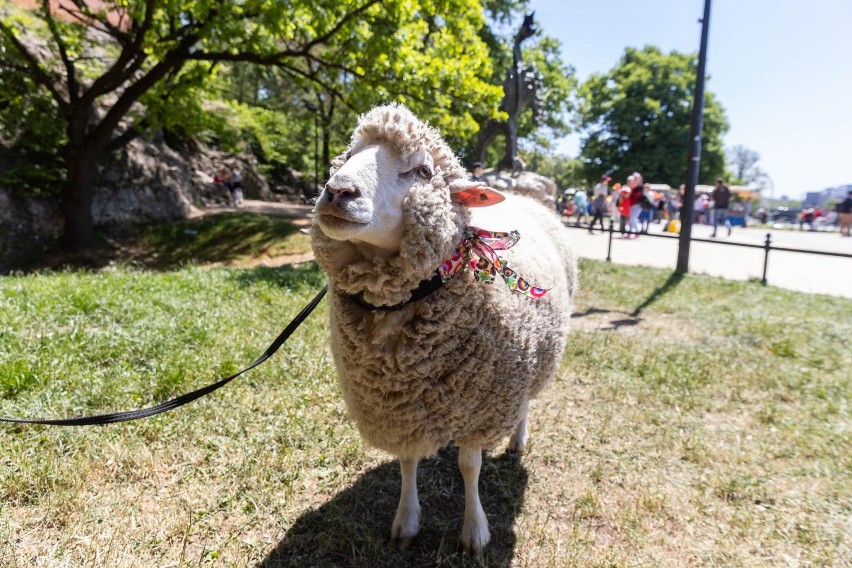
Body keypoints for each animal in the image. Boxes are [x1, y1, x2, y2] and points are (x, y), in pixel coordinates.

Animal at [310, 101, 576, 556]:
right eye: (347, 156)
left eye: (423, 171)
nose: (337, 191)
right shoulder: (397, 408)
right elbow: (407, 460)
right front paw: (406, 521)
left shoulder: (484, 405)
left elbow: (470, 465)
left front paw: (475, 531)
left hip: (528, 365)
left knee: (525, 404)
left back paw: (517, 440)